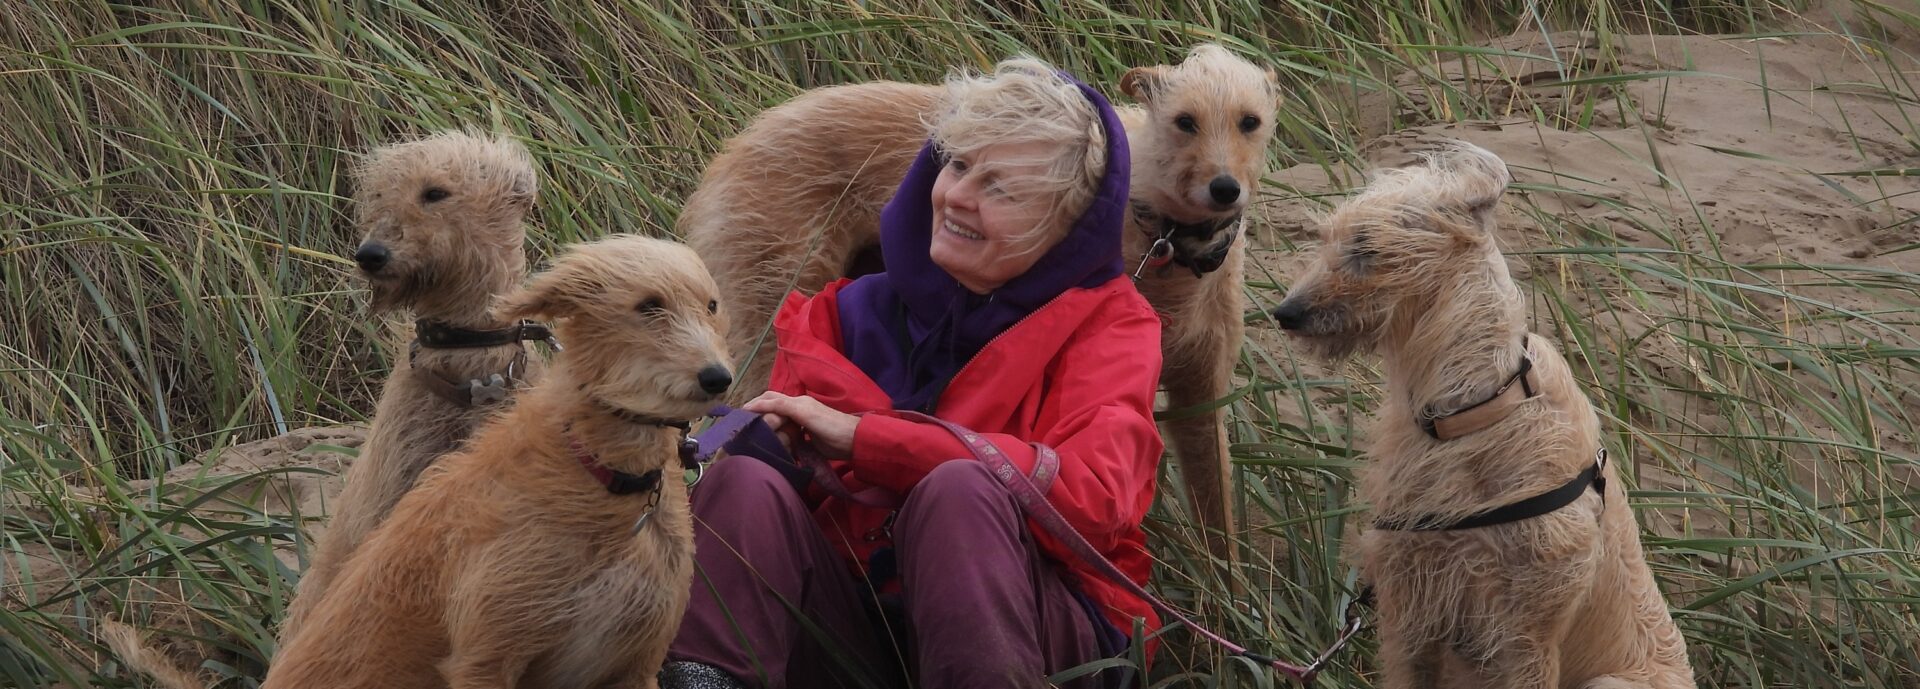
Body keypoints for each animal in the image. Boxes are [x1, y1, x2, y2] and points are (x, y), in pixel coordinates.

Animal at [270, 236, 741, 689]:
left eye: (711, 305)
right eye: (649, 305)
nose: (718, 378)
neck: (604, 474)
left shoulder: (636, 666)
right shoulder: (486, 661)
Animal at [1274, 140, 1697, 689]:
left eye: (1366, 248)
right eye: (1329, 239)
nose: (1285, 314)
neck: (1475, 409)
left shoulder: (1526, 635)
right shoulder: (1410, 608)